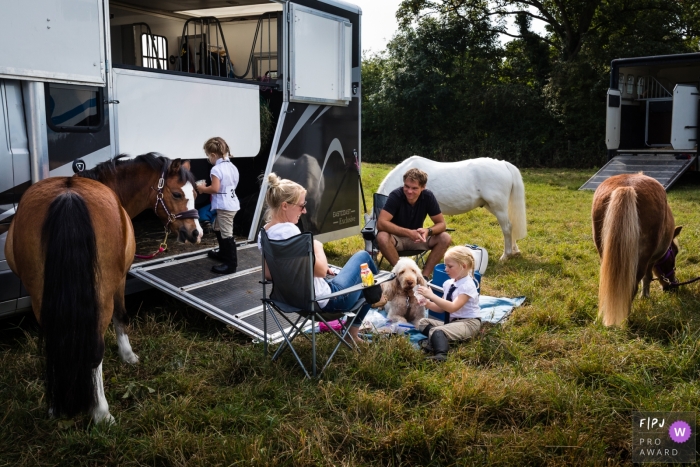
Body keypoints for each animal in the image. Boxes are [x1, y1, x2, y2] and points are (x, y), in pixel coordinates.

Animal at [378, 156, 524, 260]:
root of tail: (503, 164)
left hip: (498, 207)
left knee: (507, 228)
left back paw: (505, 256)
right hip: (493, 207)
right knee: (510, 226)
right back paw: (515, 250)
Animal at [592, 174, 680, 328]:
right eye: (674, 252)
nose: (673, 286)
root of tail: (627, 187)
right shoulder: (650, 261)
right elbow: (647, 277)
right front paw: (645, 297)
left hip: (604, 253)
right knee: (631, 288)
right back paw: (624, 321)